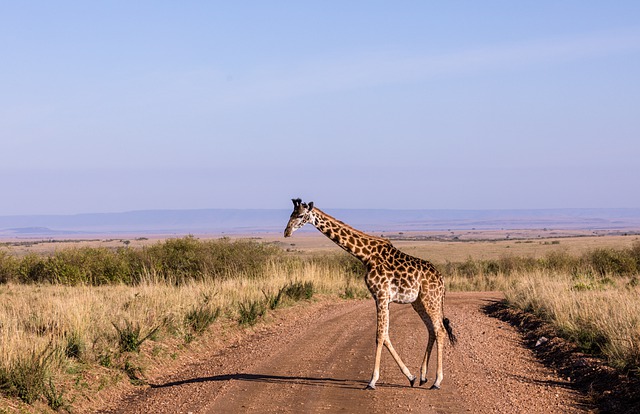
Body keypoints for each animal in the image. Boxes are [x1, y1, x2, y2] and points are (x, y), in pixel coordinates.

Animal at [284, 199, 456, 390]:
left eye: (300, 215)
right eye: (290, 214)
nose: (286, 232)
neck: (366, 256)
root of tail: (441, 280)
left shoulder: (381, 295)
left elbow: (379, 335)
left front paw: (372, 381)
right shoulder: (382, 298)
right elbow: (385, 335)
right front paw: (410, 377)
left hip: (430, 299)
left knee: (440, 330)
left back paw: (437, 381)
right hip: (418, 302)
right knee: (432, 330)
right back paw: (423, 377)